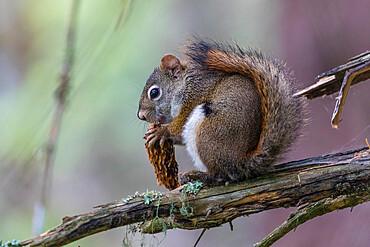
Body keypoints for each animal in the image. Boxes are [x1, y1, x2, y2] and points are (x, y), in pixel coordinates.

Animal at [137, 38, 304, 185]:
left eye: (154, 93)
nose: (141, 116)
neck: (186, 84)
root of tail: (241, 161)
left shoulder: (194, 98)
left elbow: (178, 127)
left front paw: (162, 132)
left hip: (209, 132)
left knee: (219, 174)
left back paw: (197, 175)